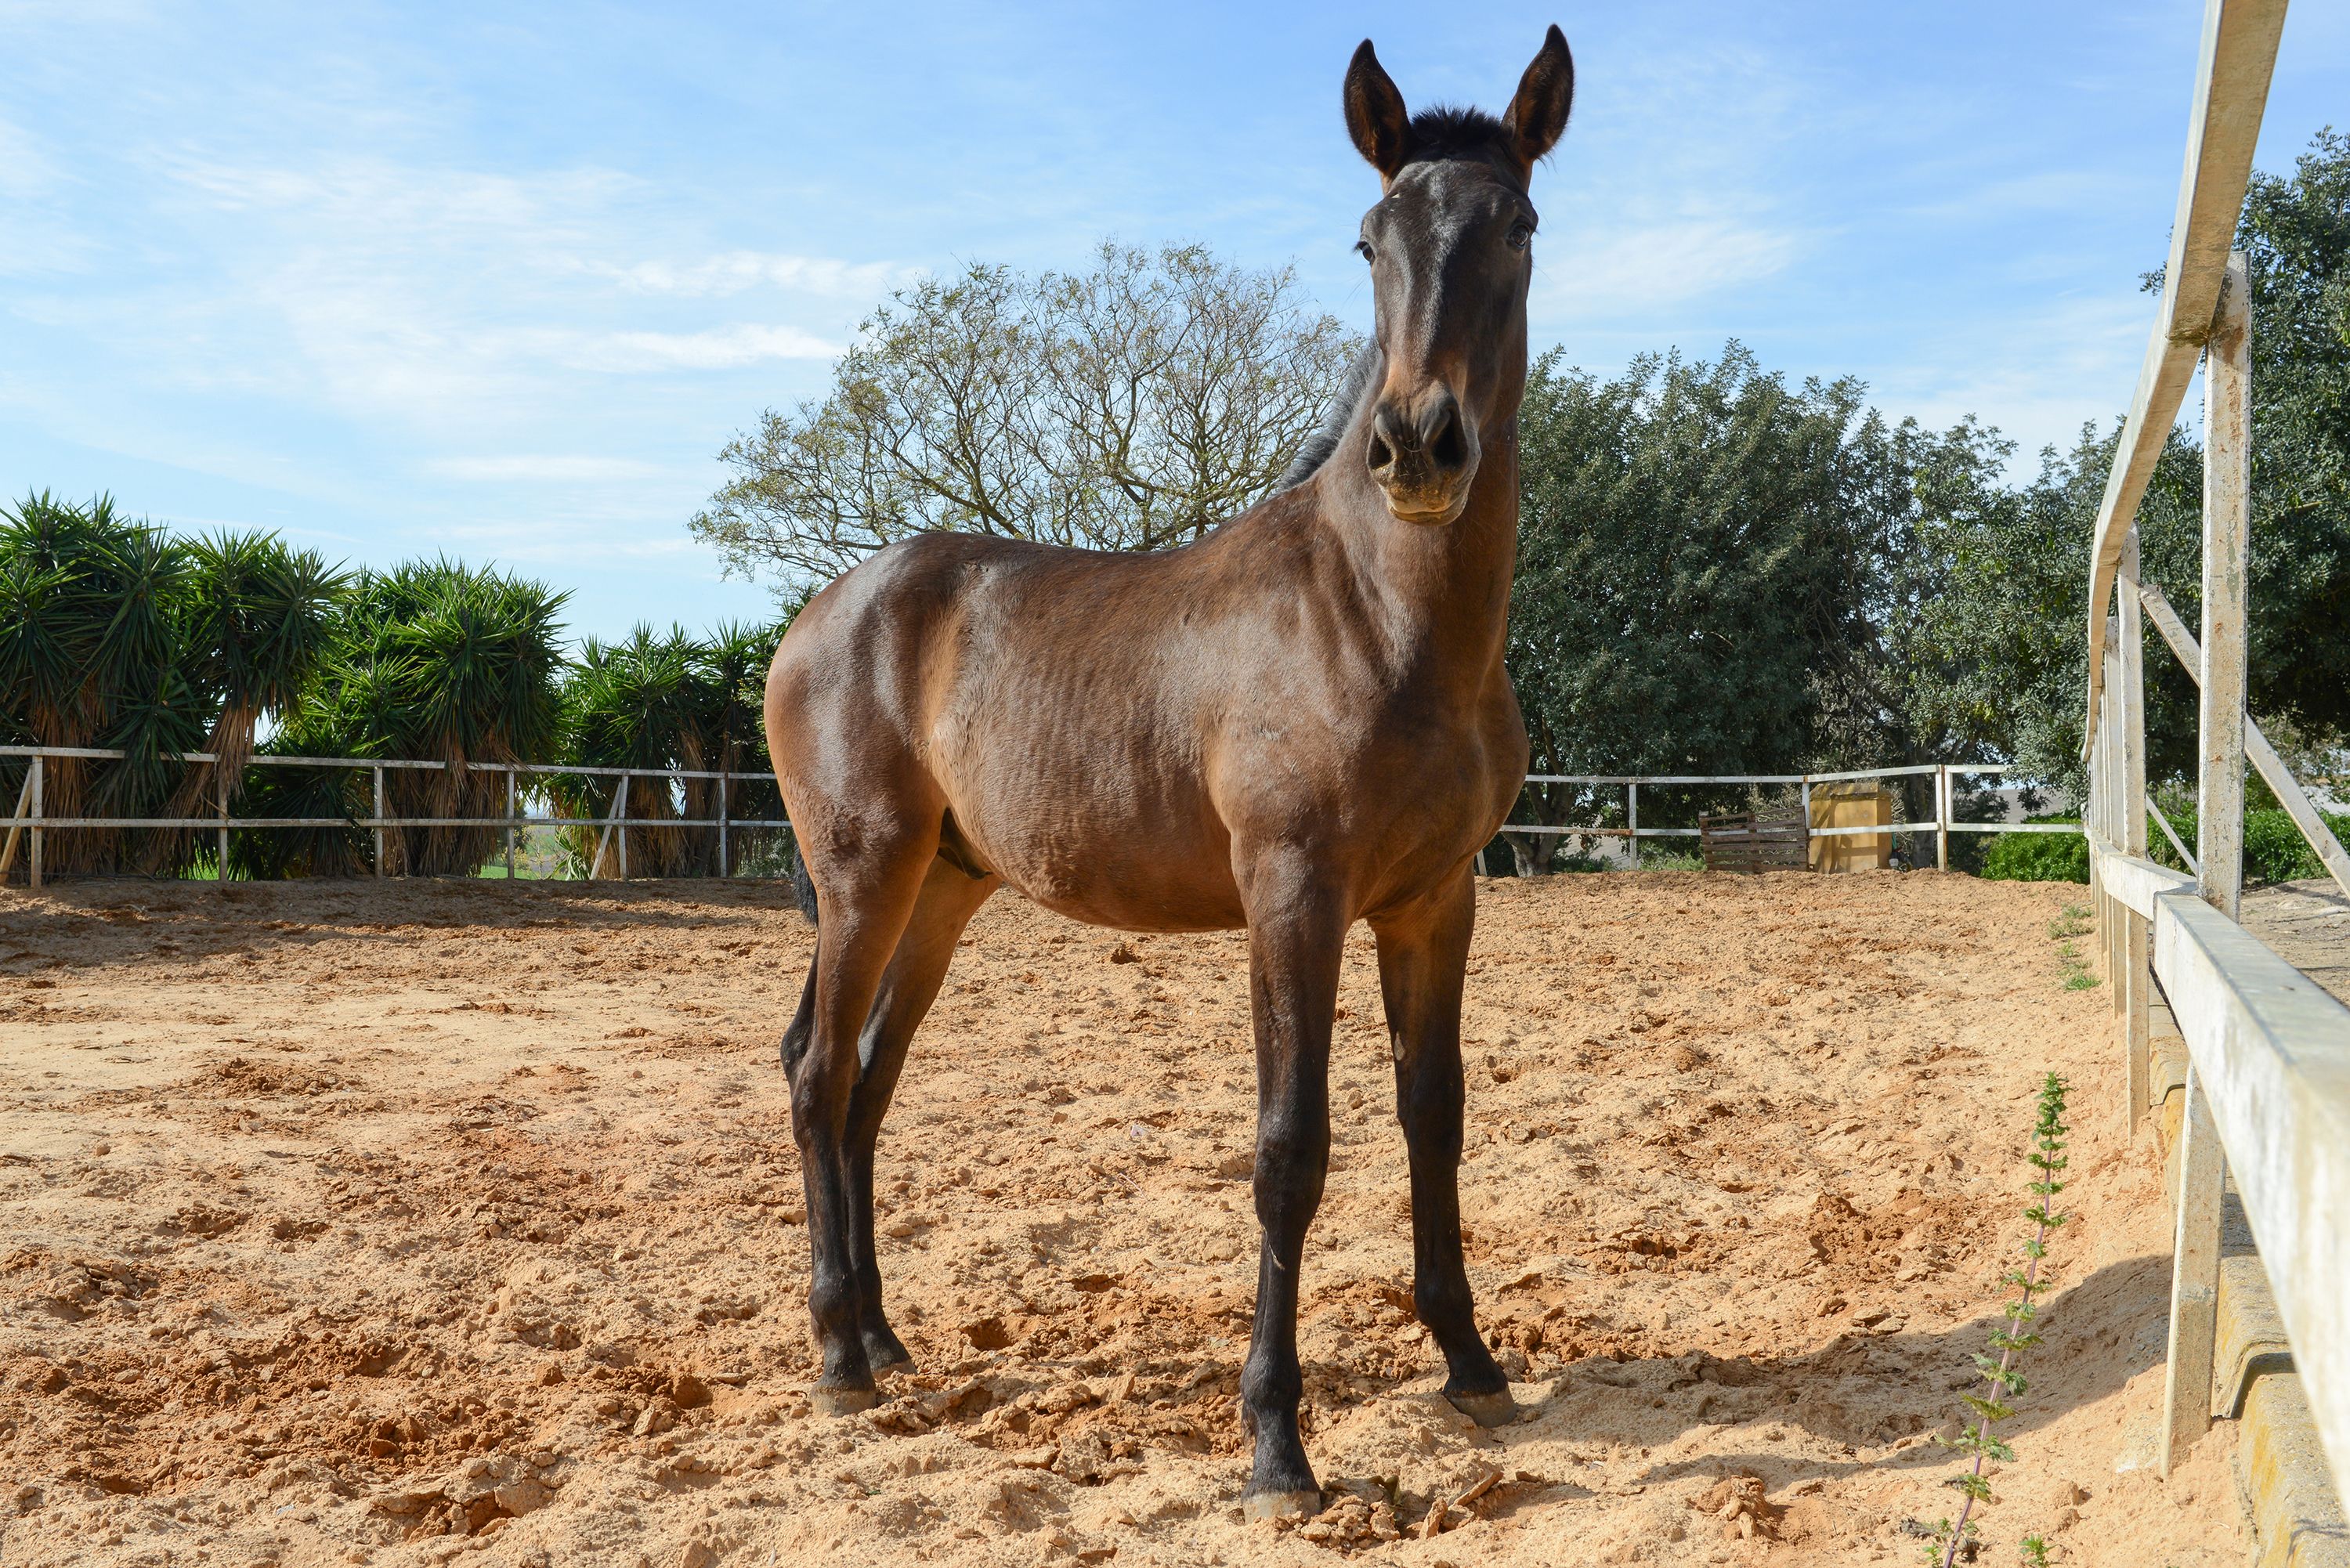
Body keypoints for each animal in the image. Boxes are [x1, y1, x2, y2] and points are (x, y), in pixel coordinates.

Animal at [771, 27, 1579, 1523]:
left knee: (863, 1079)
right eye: (1370, 237)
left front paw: (1472, 1363)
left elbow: (1432, 1117)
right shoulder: (1292, 896)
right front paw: (1275, 1444)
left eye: (1519, 226)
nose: (1418, 444)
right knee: (812, 1073)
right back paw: (839, 1359)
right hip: (862, 875)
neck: (1377, 615)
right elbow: (1289, 1149)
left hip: (943, 891)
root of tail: (826, 611)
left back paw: (887, 1339)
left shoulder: (1436, 901)